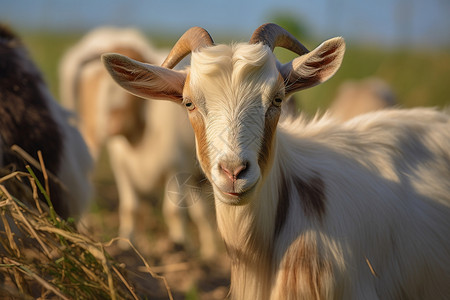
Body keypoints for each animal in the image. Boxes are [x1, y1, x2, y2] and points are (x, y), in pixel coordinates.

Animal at [59, 27, 218, 256]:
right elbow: (129, 207)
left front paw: (181, 247)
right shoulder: (122, 165)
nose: (111, 125)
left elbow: (174, 211)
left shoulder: (177, 167)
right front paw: (127, 244)